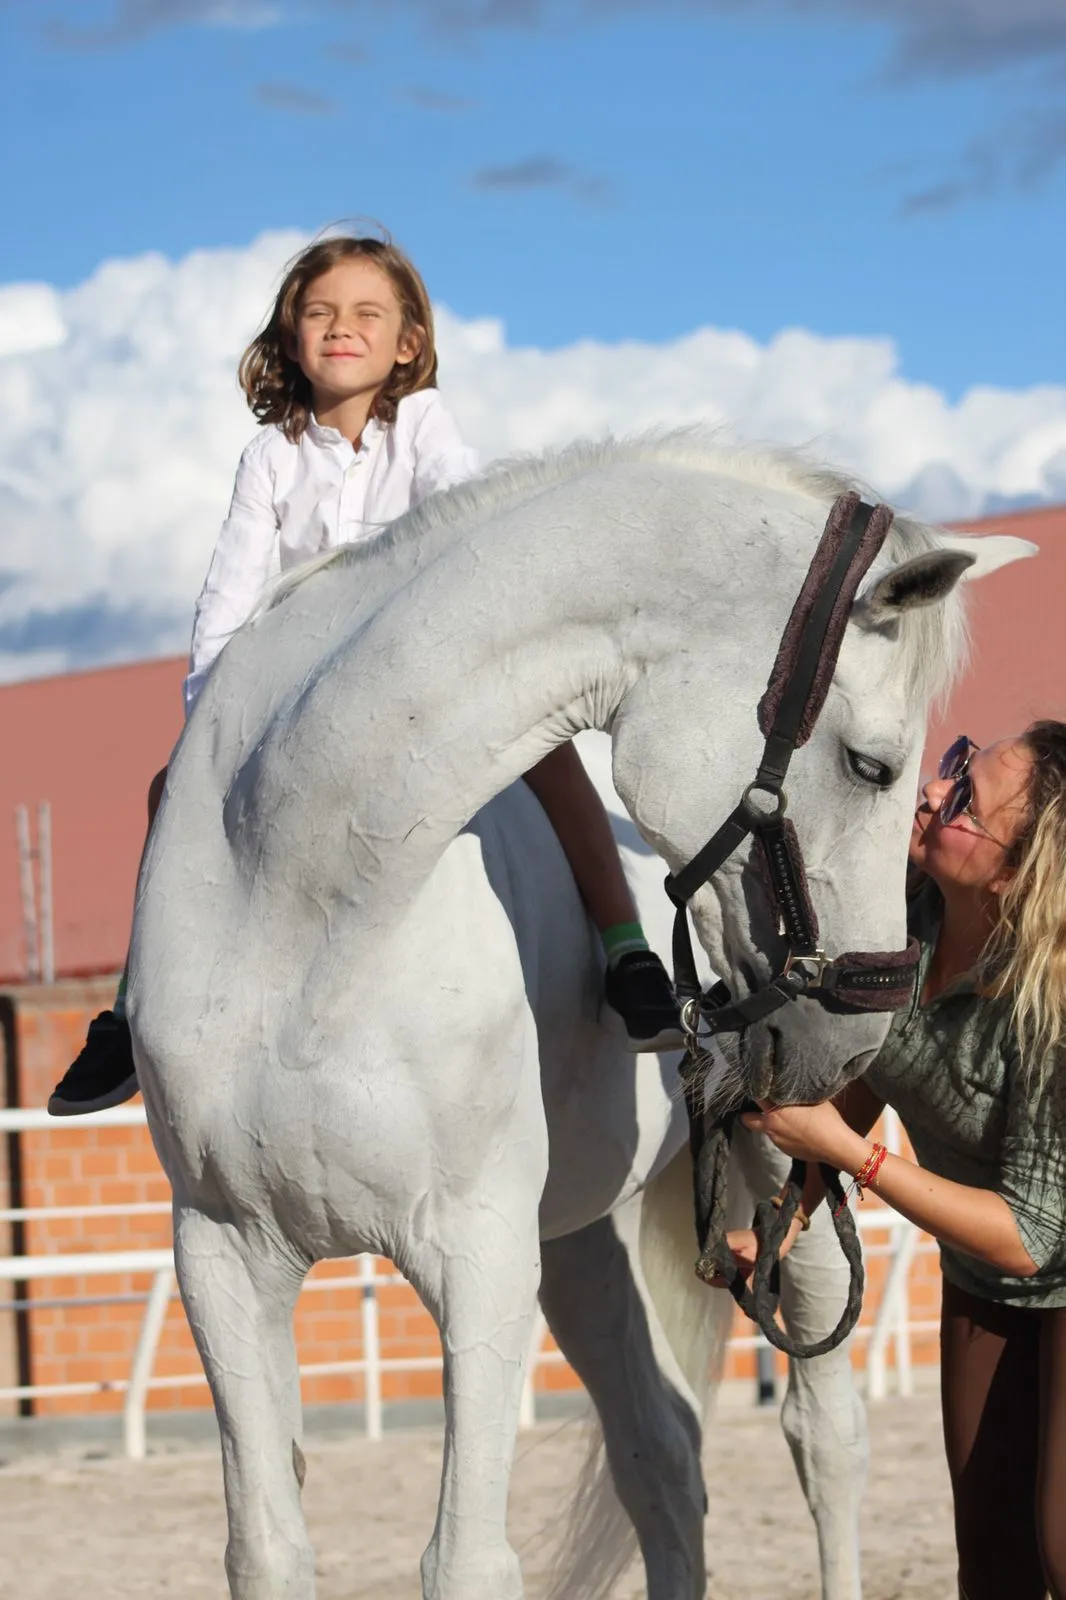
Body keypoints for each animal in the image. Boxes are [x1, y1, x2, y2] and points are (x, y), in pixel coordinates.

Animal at [128, 435, 1032, 1600]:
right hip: (584, 1242)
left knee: (823, 1440)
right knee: (664, 1456)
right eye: (871, 763)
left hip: (780, 1192)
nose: (859, 1033)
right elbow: (267, 1550)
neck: (301, 898)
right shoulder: (224, 1258)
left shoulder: (478, 1255)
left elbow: (466, 1560)